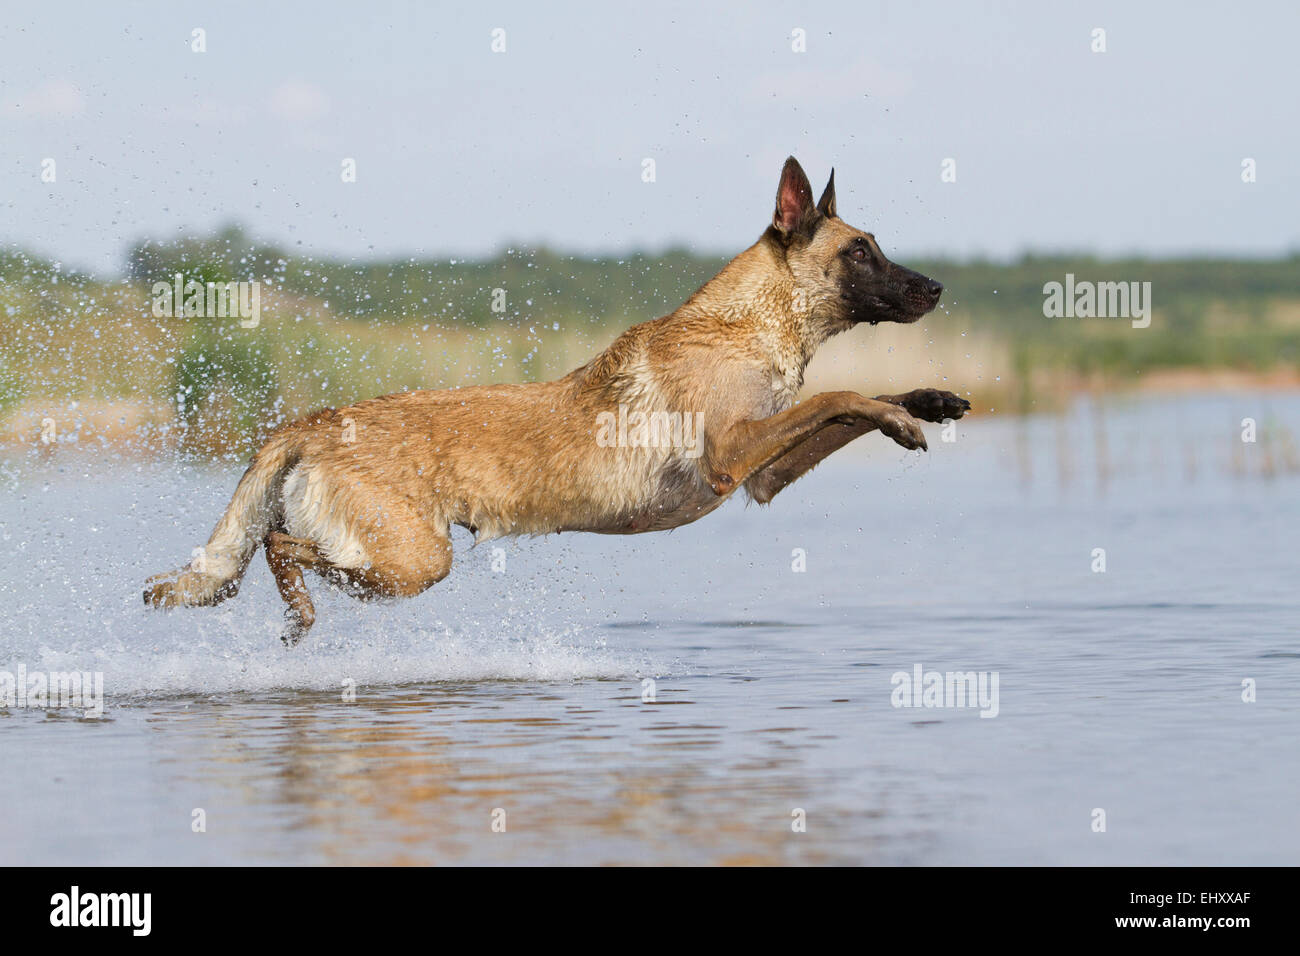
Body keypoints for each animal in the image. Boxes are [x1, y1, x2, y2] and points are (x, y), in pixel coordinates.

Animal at [147, 158, 972, 642]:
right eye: (860, 251)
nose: (937, 288)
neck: (748, 323)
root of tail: (310, 422)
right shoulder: (731, 454)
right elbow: (842, 390)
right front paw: (900, 418)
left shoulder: (762, 475)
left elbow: (849, 402)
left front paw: (924, 400)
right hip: (413, 560)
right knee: (280, 547)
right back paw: (300, 616)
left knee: (272, 544)